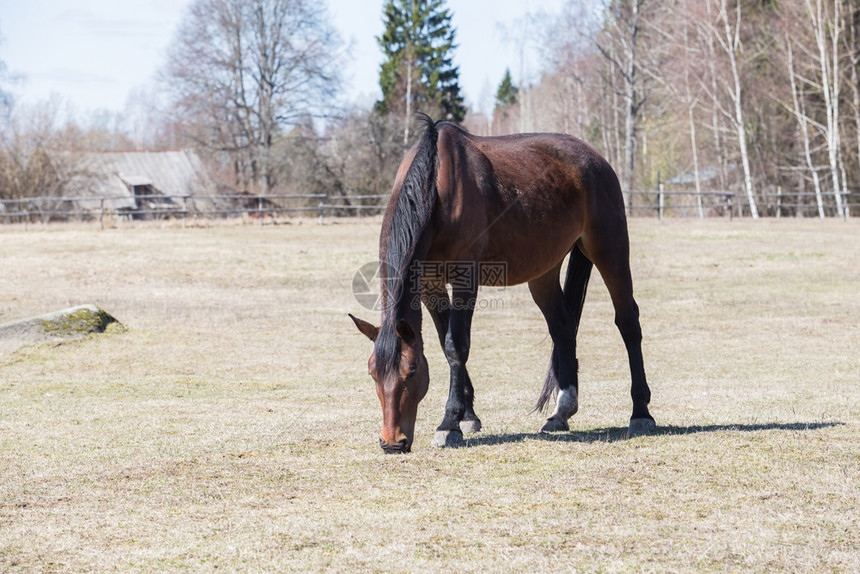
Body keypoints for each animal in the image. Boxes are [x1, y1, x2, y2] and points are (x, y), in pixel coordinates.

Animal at [350, 113, 652, 454]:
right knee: (563, 328)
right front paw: (468, 415)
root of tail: (596, 159)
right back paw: (561, 413)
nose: (392, 442)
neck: (435, 186)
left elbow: (456, 344)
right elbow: (444, 342)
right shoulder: (429, 286)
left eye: (411, 371)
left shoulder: (465, 277)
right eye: (372, 373)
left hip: (610, 250)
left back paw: (641, 413)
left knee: (628, 322)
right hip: (543, 273)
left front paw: (450, 423)